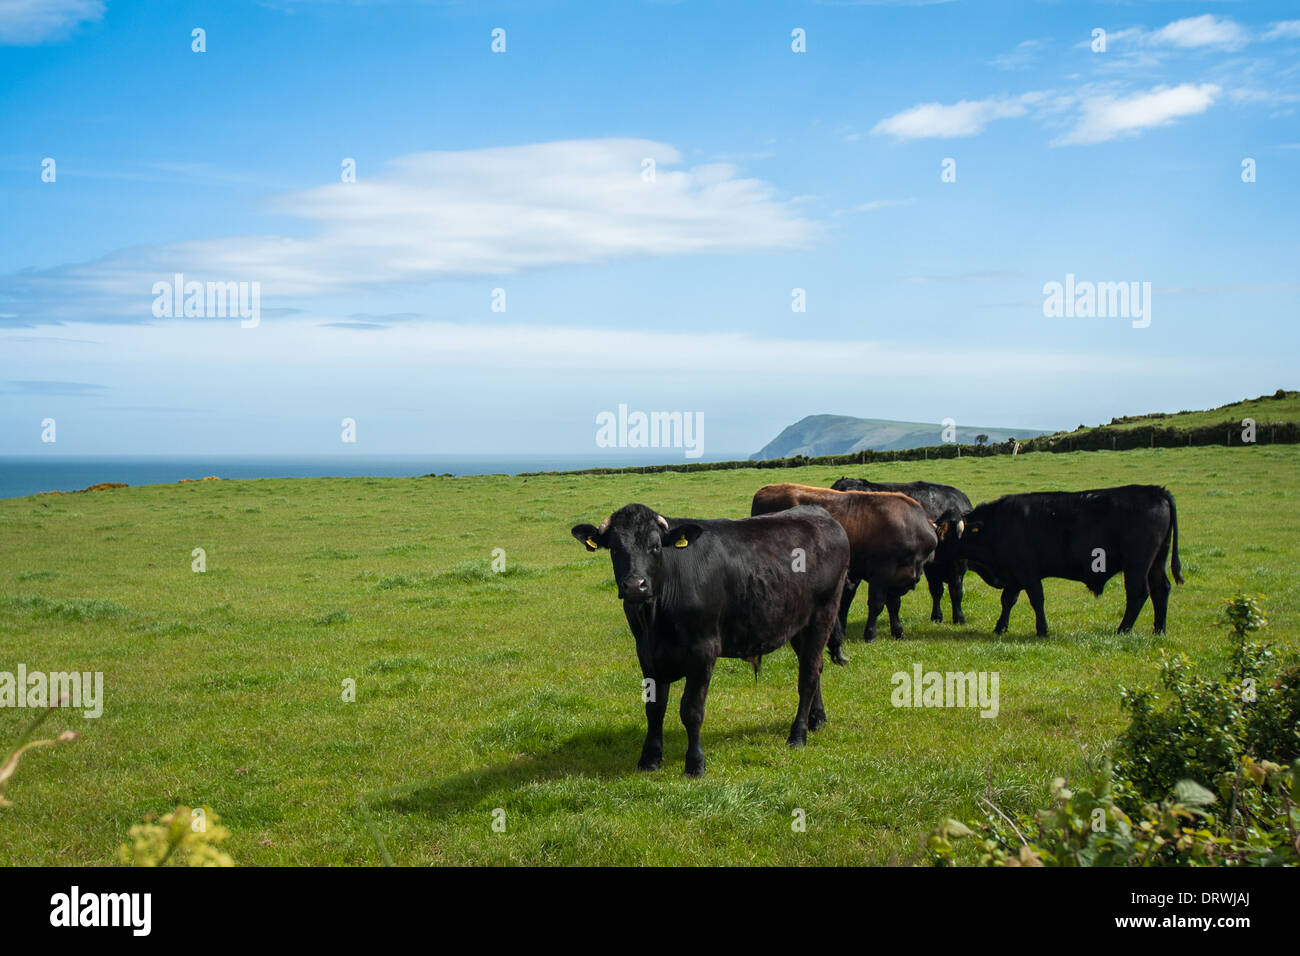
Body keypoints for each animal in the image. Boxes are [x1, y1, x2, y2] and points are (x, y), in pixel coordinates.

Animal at [571, 503, 850, 777]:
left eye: (656, 546)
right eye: (615, 548)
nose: (634, 585)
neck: (656, 618)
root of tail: (819, 513)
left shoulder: (703, 651)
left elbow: (691, 711)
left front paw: (695, 764)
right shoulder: (647, 653)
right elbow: (654, 708)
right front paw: (649, 758)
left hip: (822, 615)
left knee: (808, 676)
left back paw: (798, 734)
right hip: (797, 625)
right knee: (814, 667)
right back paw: (817, 719)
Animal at [750, 484, 937, 661]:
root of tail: (765, 490)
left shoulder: (895, 578)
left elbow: (894, 606)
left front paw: (899, 632)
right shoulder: (882, 573)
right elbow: (876, 605)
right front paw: (870, 635)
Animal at [956, 484, 1183, 636]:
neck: (999, 523)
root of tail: (1156, 491)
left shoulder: (1027, 573)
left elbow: (1037, 600)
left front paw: (1042, 630)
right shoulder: (1014, 575)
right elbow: (1008, 600)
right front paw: (1000, 627)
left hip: (1136, 564)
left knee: (1138, 592)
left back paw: (1123, 630)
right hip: (1156, 562)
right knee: (1161, 589)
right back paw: (1159, 630)